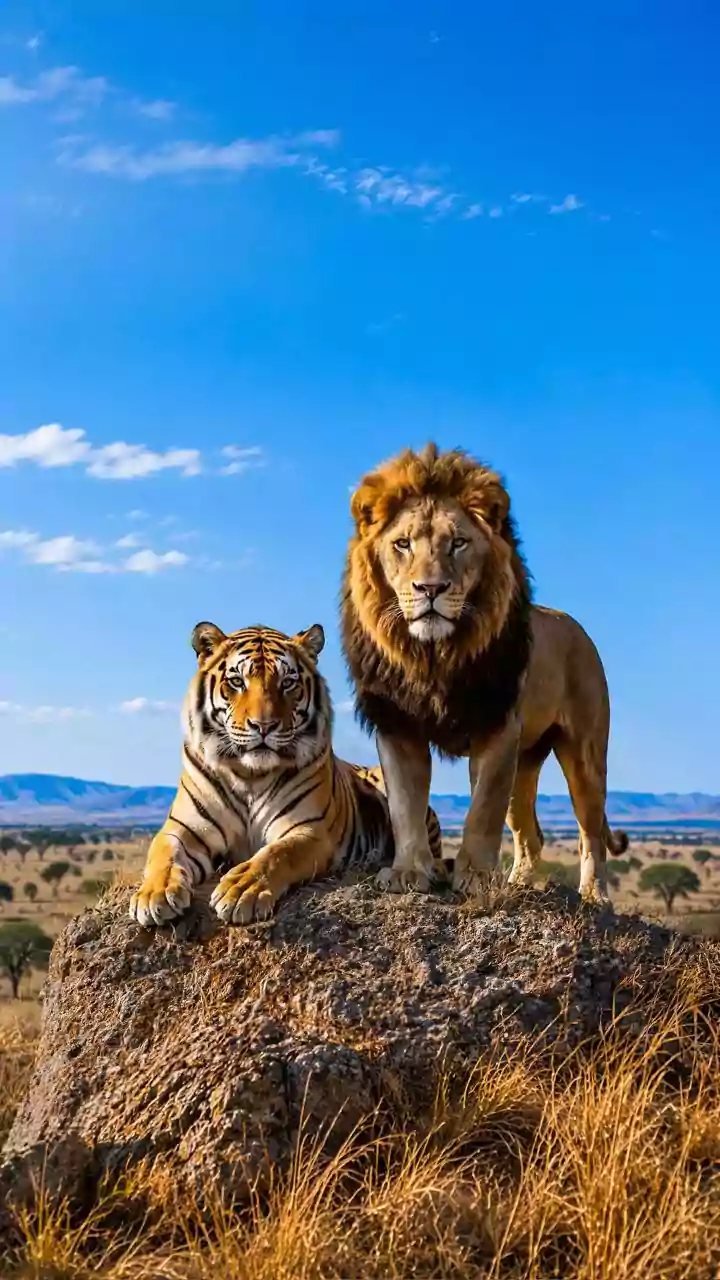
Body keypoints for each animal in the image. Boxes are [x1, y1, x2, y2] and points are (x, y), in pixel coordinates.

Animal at [129, 620, 444, 927]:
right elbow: (164, 855)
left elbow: (275, 855)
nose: (263, 726)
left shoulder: (308, 830)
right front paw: (154, 895)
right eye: (236, 681)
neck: (249, 775)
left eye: (287, 683)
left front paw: (241, 891)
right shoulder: (184, 829)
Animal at [341, 442, 627, 904]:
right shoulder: (398, 726)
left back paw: (594, 895)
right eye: (402, 544)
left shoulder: (497, 727)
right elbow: (405, 806)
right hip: (526, 759)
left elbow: (483, 810)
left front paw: (475, 876)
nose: (430, 589)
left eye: (458, 543)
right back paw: (520, 883)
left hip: (584, 753)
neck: (433, 656)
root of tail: (574, 624)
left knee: (591, 833)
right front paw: (408, 872)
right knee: (531, 834)